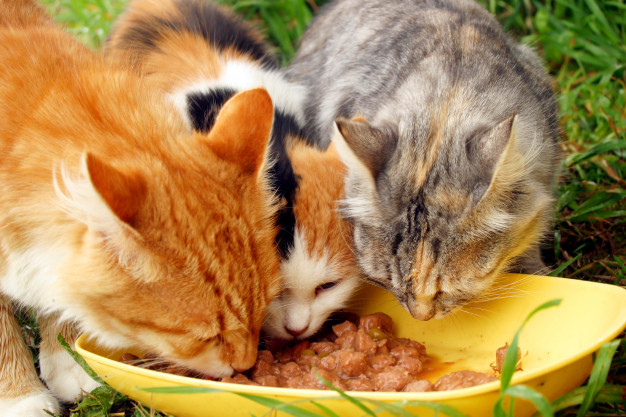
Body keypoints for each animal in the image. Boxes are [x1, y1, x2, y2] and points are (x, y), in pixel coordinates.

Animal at [0, 1, 278, 414]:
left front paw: (68, 361)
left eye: (265, 306)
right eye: (206, 336)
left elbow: (58, 299)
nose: (246, 366)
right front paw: (20, 396)